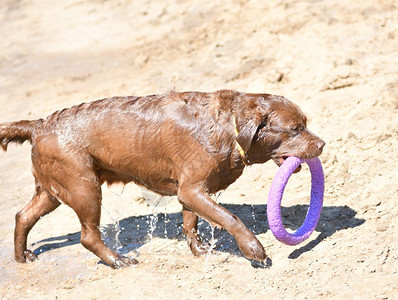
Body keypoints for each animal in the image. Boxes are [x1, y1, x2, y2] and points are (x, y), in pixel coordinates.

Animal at [0, 89, 324, 268]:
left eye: (305, 123)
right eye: (294, 129)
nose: (322, 144)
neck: (229, 127)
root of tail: (38, 125)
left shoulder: (192, 190)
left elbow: (191, 221)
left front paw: (200, 249)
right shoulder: (192, 189)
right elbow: (229, 218)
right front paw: (253, 249)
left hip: (53, 190)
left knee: (23, 215)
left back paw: (22, 256)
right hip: (84, 187)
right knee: (88, 235)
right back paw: (118, 260)